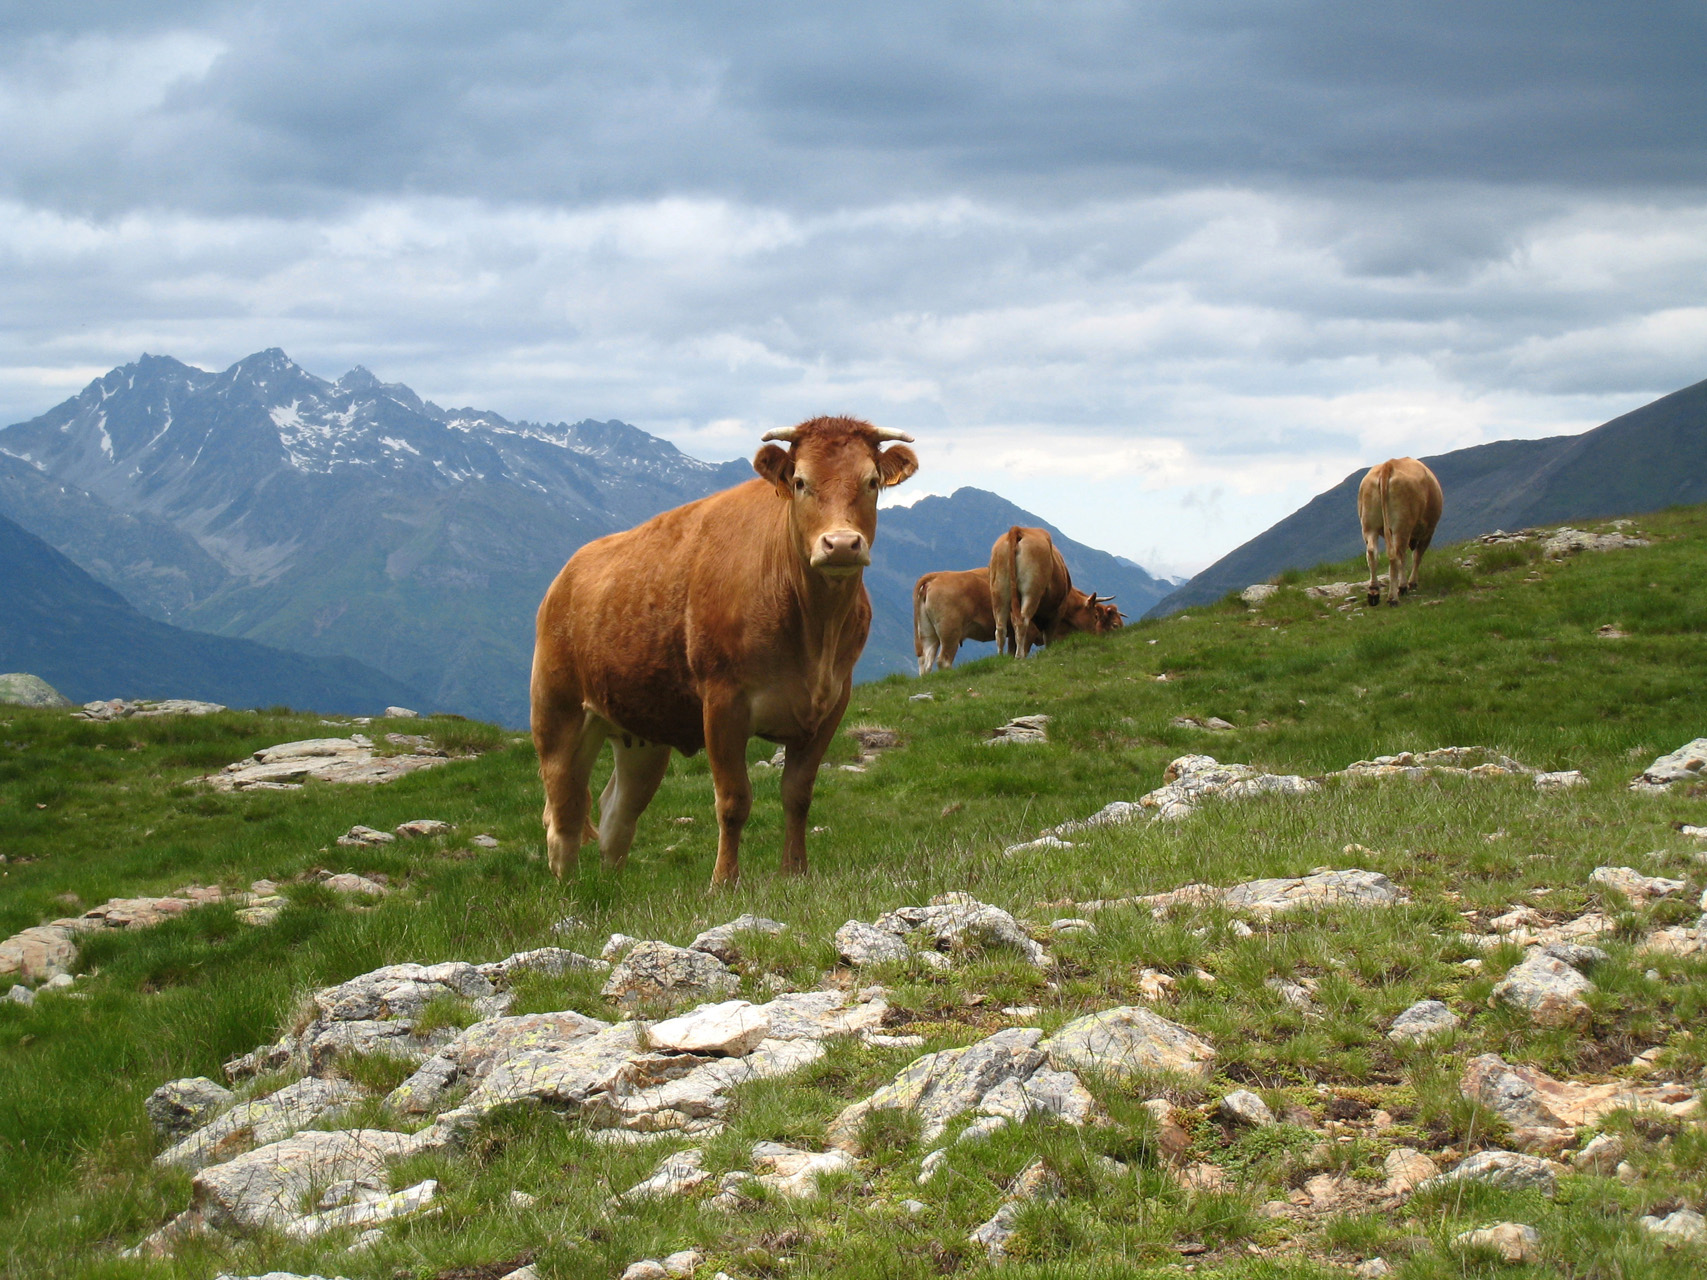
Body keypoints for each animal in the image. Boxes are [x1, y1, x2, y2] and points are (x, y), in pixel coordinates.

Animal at [531, 416, 919, 887]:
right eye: (801, 481)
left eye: (871, 482)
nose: (842, 544)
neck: (814, 634)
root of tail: (565, 576)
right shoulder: (722, 702)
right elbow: (733, 801)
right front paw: (724, 882)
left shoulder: (832, 702)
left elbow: (798, 795)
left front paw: (795, 871)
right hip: (557, 712)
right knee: (565, 812)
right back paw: (571, 891)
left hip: (641, 731)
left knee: (616, 814)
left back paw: (612, 890)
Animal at [988, 525, 1123, 658]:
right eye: (1095, 616)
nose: (1096, 636)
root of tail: (1019, 529)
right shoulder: (1057, 613)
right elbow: (1048, 637)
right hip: (1031, 593)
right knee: (1022, 622)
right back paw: (1019, 657)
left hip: (999, 592)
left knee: (1000, 629)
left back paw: (1001, 658)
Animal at [1357, 457, 1444, 607]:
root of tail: (1388, 465)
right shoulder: (1428, 531)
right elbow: (1417, 556)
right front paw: (1409, 584)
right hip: (1401, 526)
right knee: (1396, 556)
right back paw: (1393, 598)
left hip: (1369, 526)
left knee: (1372, 553)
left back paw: (1374, 592)